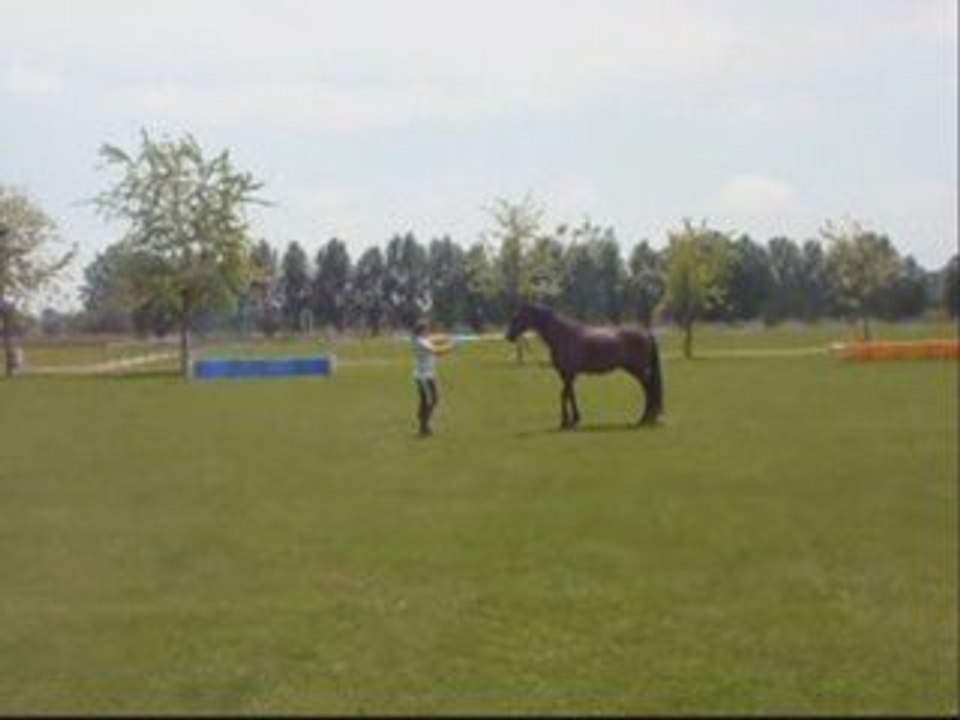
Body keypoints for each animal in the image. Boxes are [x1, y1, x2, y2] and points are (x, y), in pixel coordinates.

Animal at [505, 303, 663, 429]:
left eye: (517, 317)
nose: (509, 336)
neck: (563, 335)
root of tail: (645, 332)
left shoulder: (569, 373)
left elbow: (563, 395)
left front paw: (566, 422)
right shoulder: (566, 374)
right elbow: (570, 394)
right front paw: (573, 420)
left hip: (638, 370)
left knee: (649, 390)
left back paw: (644, 419)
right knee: (649, 390)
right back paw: (648, 418)